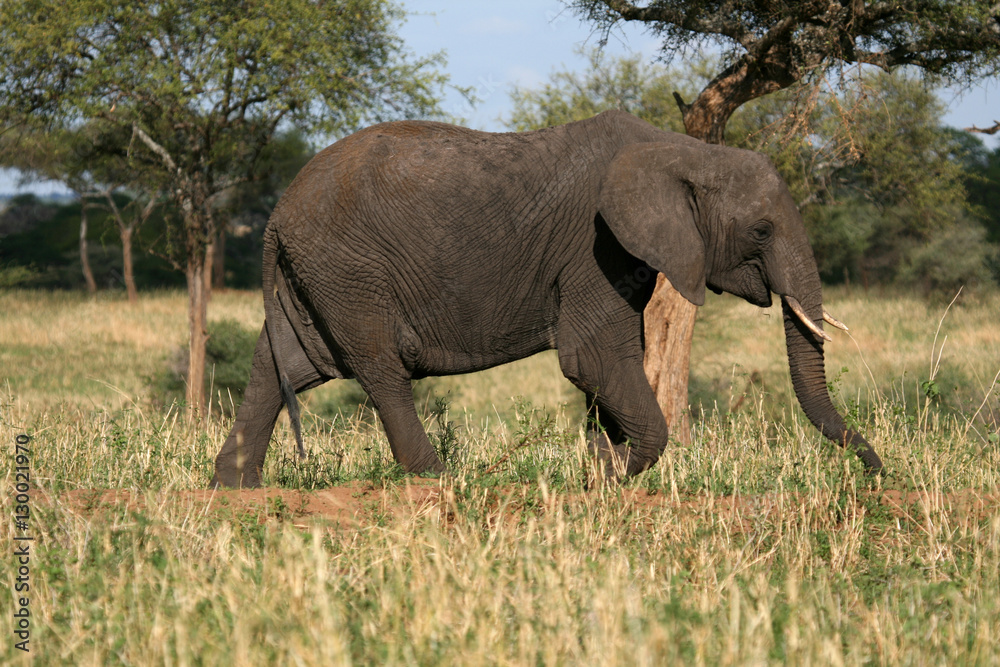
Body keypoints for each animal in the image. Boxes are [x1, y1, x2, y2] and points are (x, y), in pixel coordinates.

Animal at [209, 110, 883, 488]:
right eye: (763, 230)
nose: (874, 473)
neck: (680, 148)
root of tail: (275, 216)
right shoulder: (595, 246)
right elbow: (592, 358)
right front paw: (614, 479)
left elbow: (606, 366)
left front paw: (603, 470)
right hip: (351, 271)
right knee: (379, 368)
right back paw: (440, 480)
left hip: (318, 275)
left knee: (286, 365)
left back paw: (235, 489)